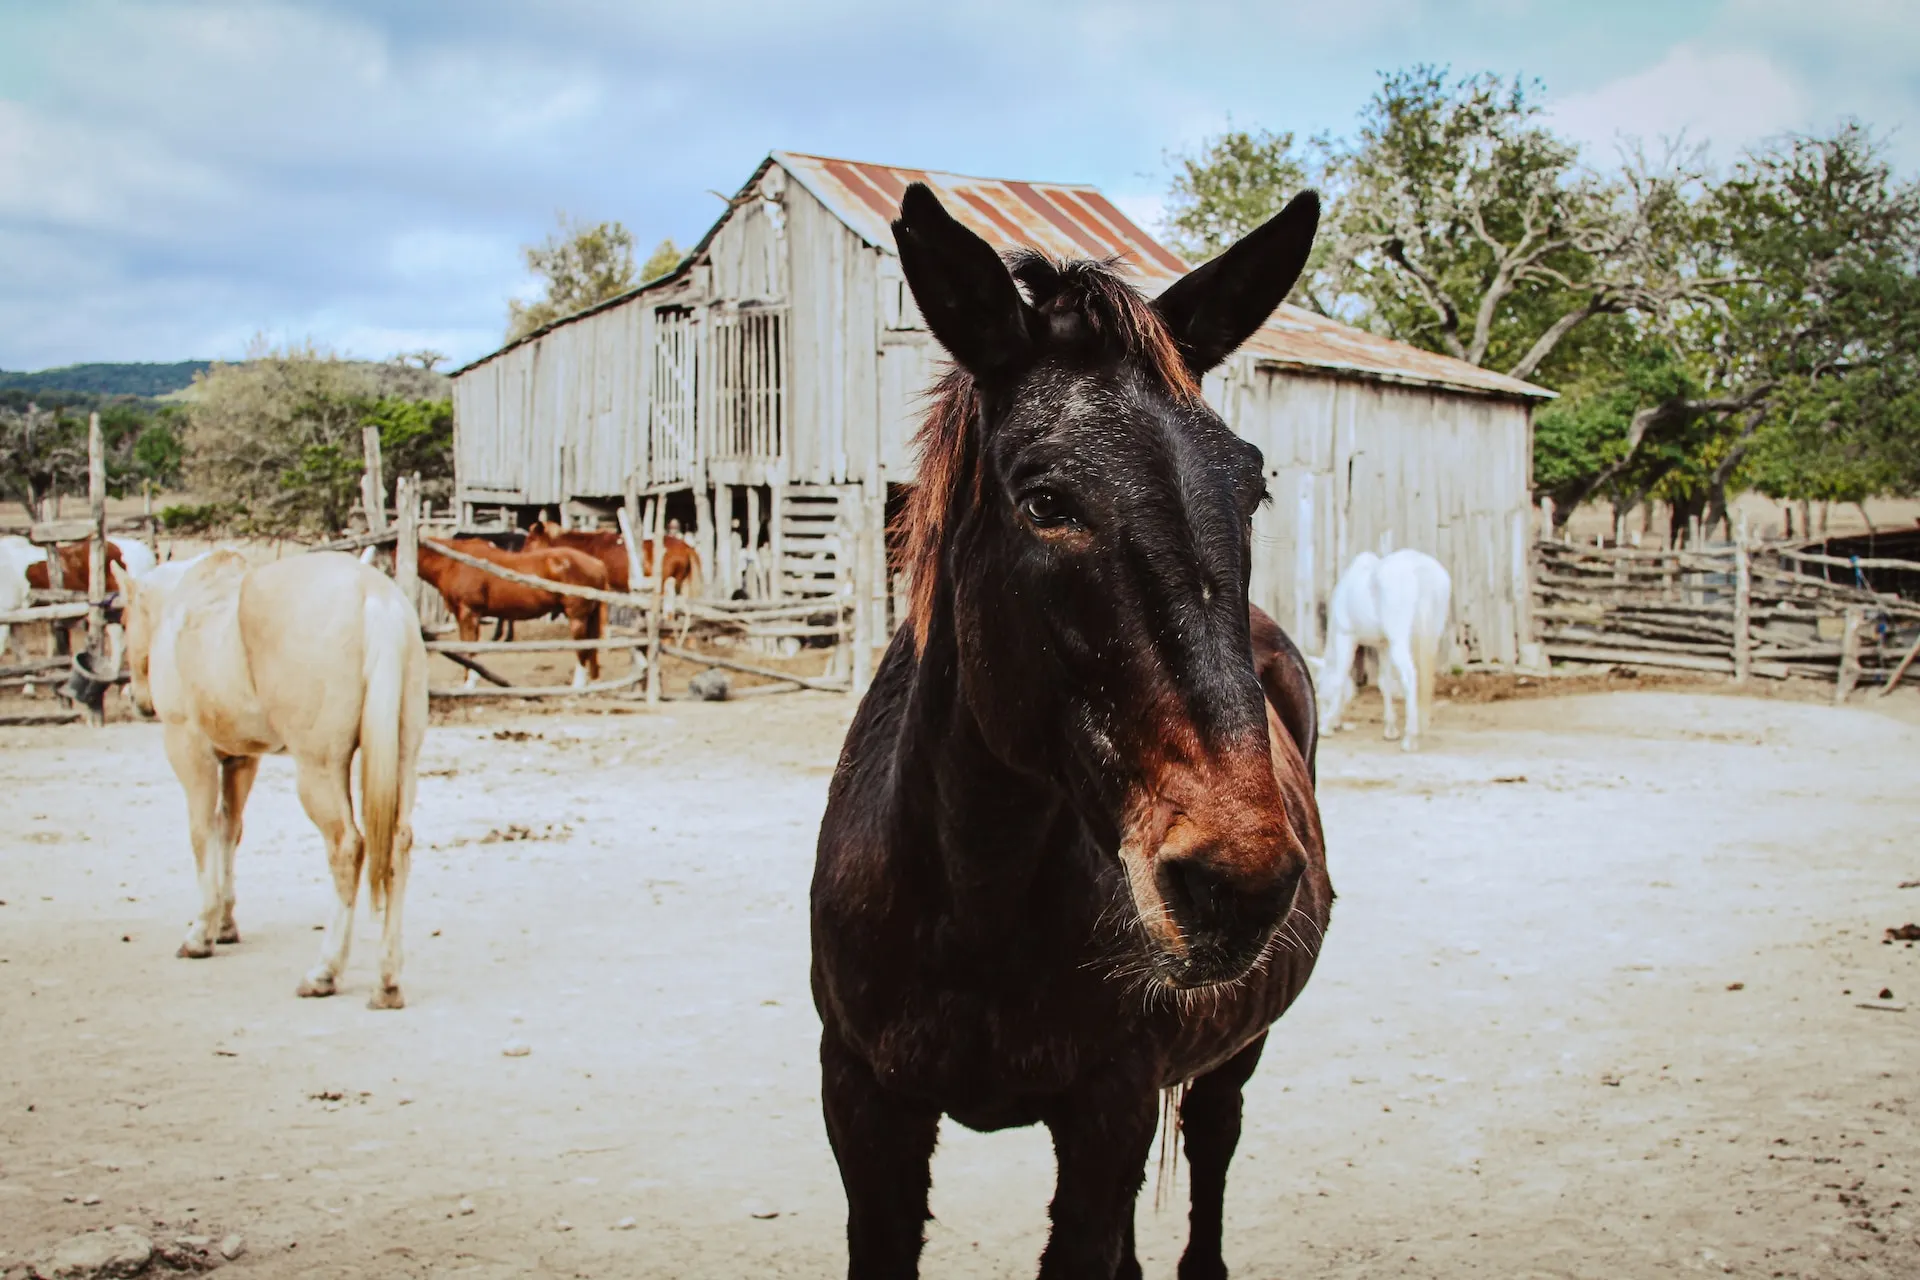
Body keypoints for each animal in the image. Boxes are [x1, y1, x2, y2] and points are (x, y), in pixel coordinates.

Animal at [118, 552, 426, 1013]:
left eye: (122, 620)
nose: (138, 701)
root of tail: (375, 596)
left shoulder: (189, 748)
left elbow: (201, 832)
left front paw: (201, 932)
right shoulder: (241, 759)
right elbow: (228, 830)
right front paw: (224, 924)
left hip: (318, 770)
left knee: (347, 848)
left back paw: (324, 972)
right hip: (403, 761)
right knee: (398, 846)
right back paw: (387, 982)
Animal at [418, 537, 606, 687]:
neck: (452, 562)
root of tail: (598, 564)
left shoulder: (468, 614)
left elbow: (470, 649)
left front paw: (469, 684)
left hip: (577, 618)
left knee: (583, 648)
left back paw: (578, 685)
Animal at [814, 182, 1336, 1280]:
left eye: (1253, 486)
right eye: (1046, 500)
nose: (1237, 882)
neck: (971, 900)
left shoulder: (1110, 1111)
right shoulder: (864, 1105)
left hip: (1233, 1052)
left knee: (1214, 1148)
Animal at [1305, 548, 1451, 752]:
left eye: (1318, 684)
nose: (1335, 724)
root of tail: (1419, 568)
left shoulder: (1346, 637)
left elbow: (1339, 680)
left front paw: (1326, 726)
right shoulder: (1384, 646)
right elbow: (1385, 683)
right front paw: (1390, 730)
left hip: (1399, 642)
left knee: (1410, 678)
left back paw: (1410, 738)